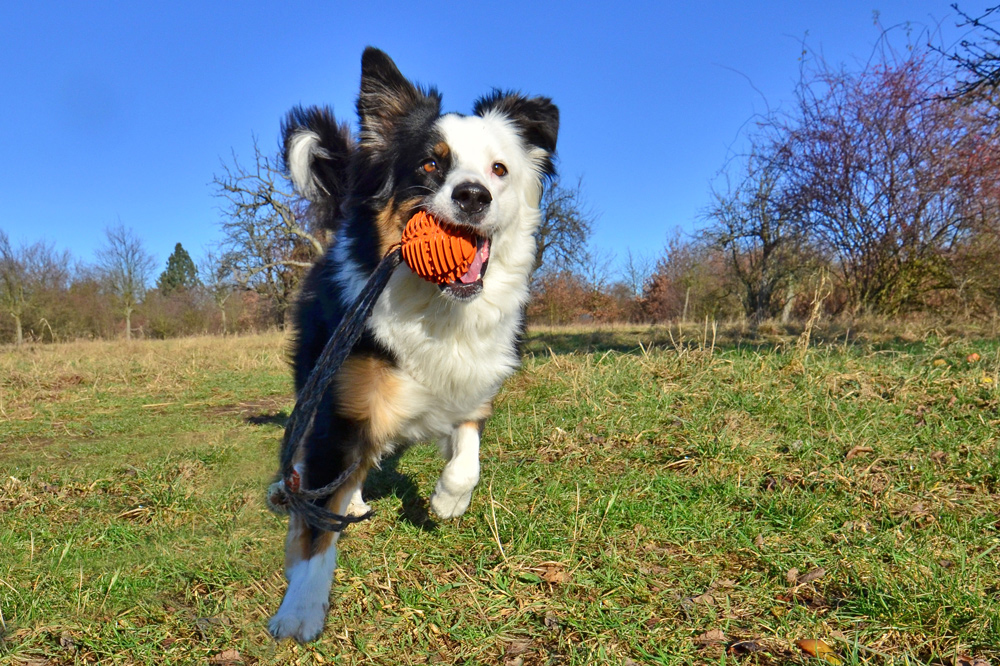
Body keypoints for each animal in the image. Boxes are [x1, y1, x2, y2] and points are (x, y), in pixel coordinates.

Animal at [270, 46, 560, 640]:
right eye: (430, 164)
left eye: (499, 169)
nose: (473, 196)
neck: (438, 307)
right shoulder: (340, 405)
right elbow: (316, 529)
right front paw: (302, 606)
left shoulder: (472, 383)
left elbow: (468, 450)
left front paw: (449, 500)